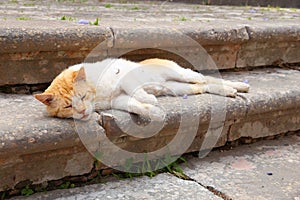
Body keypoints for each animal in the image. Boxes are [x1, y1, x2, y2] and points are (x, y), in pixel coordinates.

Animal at [34, 57, 250, 120]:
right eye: (68, 107)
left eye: (83, 96)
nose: (82, 112)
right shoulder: (118, 100)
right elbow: (134, 105)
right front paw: (155, 112)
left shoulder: (126, 79)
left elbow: (136, 92)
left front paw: (149, 100)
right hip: (179, 88)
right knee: (204, 86)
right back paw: (231, 91)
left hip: (179, 74)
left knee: (202, 77)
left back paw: (238, 86)